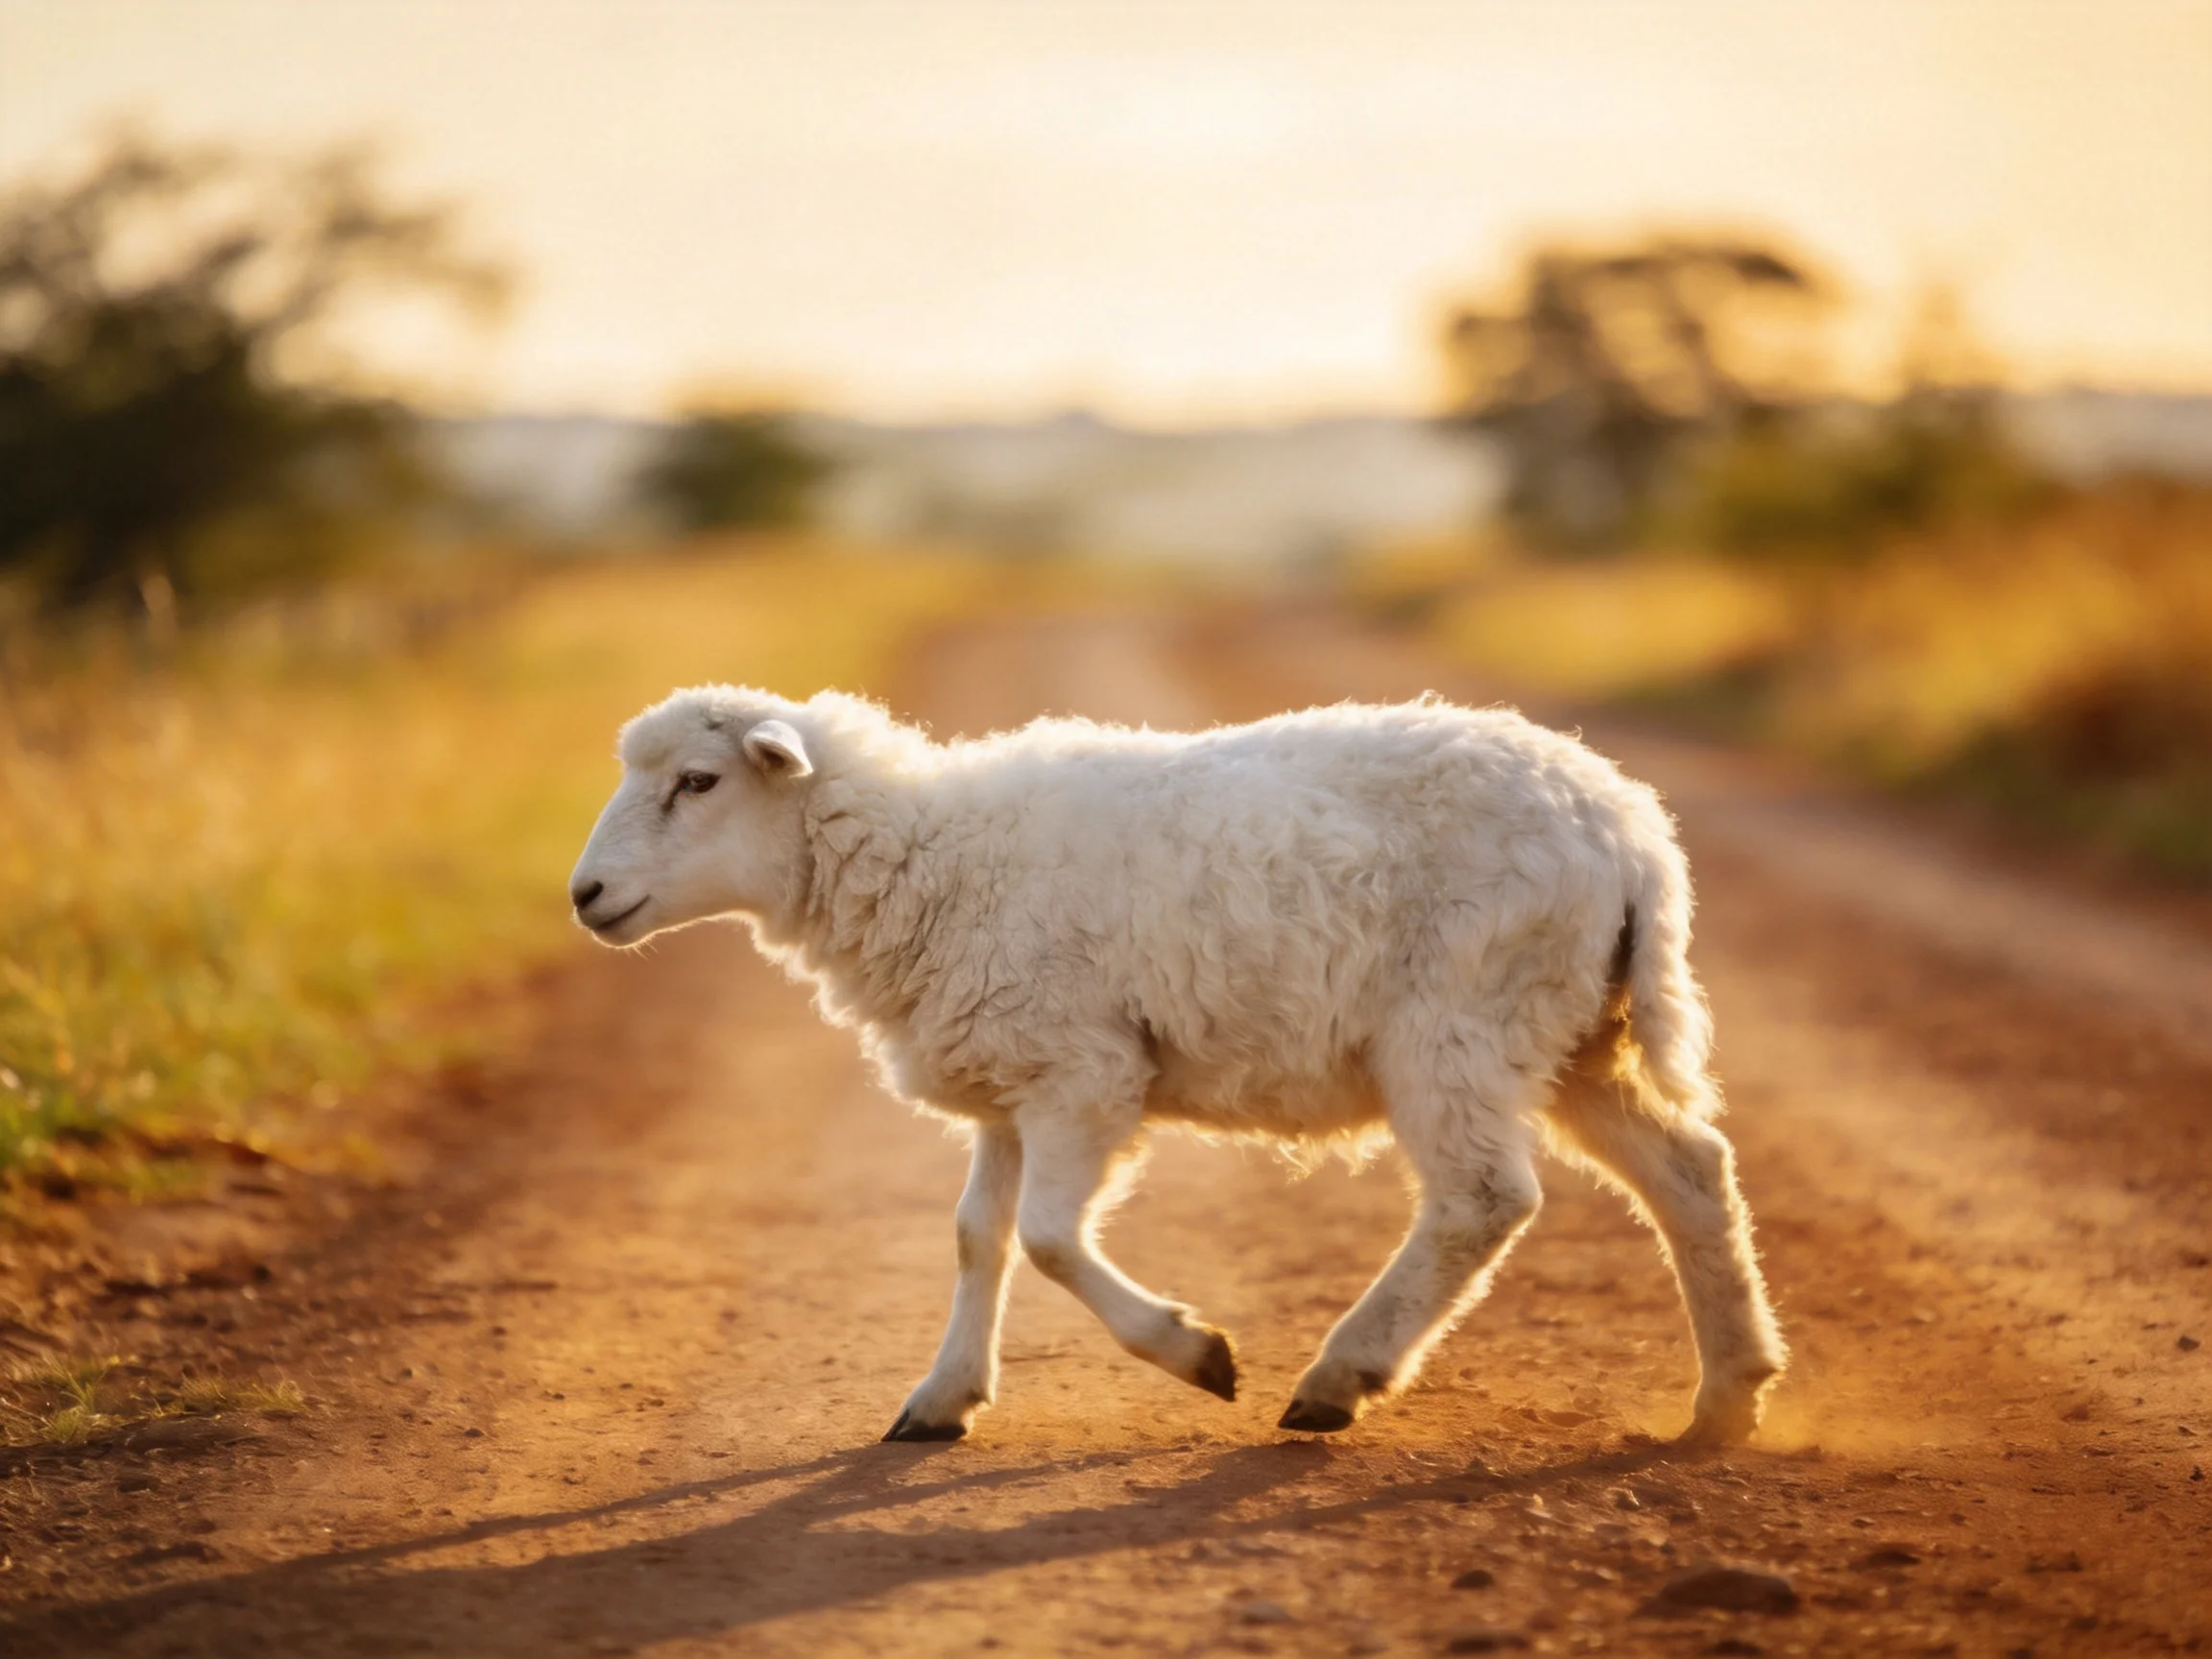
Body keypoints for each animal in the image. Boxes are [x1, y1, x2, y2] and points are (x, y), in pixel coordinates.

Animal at [569, 684, 1785, 1445]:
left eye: (697, 782)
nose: (584, 896)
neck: (930, 858)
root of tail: (1634, 832)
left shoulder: (1086, 1072)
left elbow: (1051, 1240)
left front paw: (1195, 1353)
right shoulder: (1010, 1084)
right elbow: (977, 1237)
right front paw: (942, 1398)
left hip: (1462, 1019)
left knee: (1484, 1199)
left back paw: (1340, 1378)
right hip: (1576, 1031)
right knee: (1691, 1172)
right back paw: (1727, 1398)